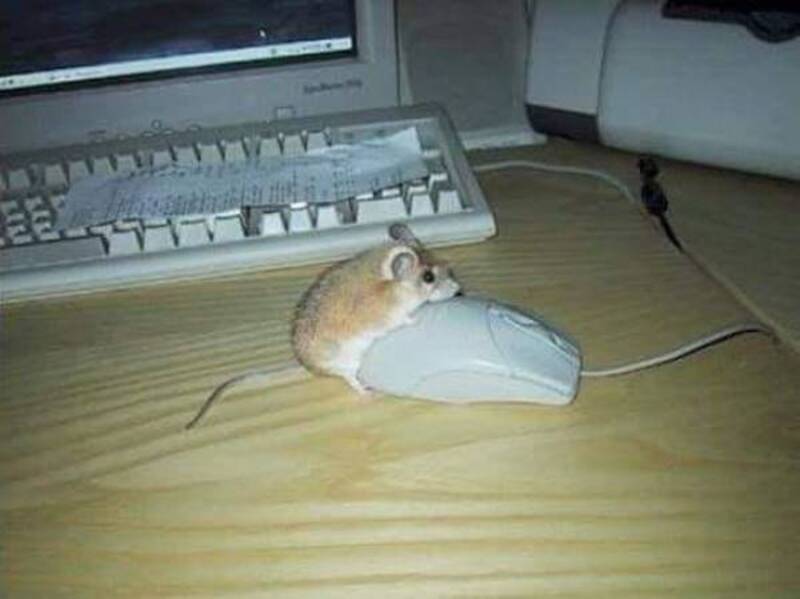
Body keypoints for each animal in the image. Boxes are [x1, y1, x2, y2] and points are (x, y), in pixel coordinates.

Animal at [184, 223, 460, 429]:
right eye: (428, 277)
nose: (459, 291)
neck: (393, 285)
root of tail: (306, 365)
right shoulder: (390, 317)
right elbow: (405, 319)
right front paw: (418, 317)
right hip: (349, 361)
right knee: (351, 380)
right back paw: (369, 392)